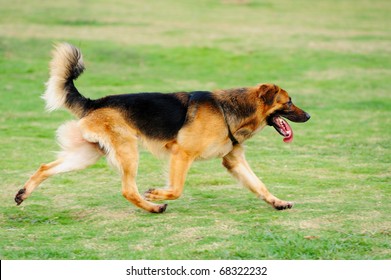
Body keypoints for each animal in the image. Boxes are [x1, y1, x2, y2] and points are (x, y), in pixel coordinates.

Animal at [14, 42, 310, 213]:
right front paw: (157, 192)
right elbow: (176, 188)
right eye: (289, 102)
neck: (229, 109)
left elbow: (260, 185)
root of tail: (94, 102)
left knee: (45, 167)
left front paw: (277, 202)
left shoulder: (234, 161)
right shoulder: (182, 154)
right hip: (128, 151)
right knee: (128, 190)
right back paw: (154, 206)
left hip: (87, 155)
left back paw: (23, 193)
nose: (308, 116)